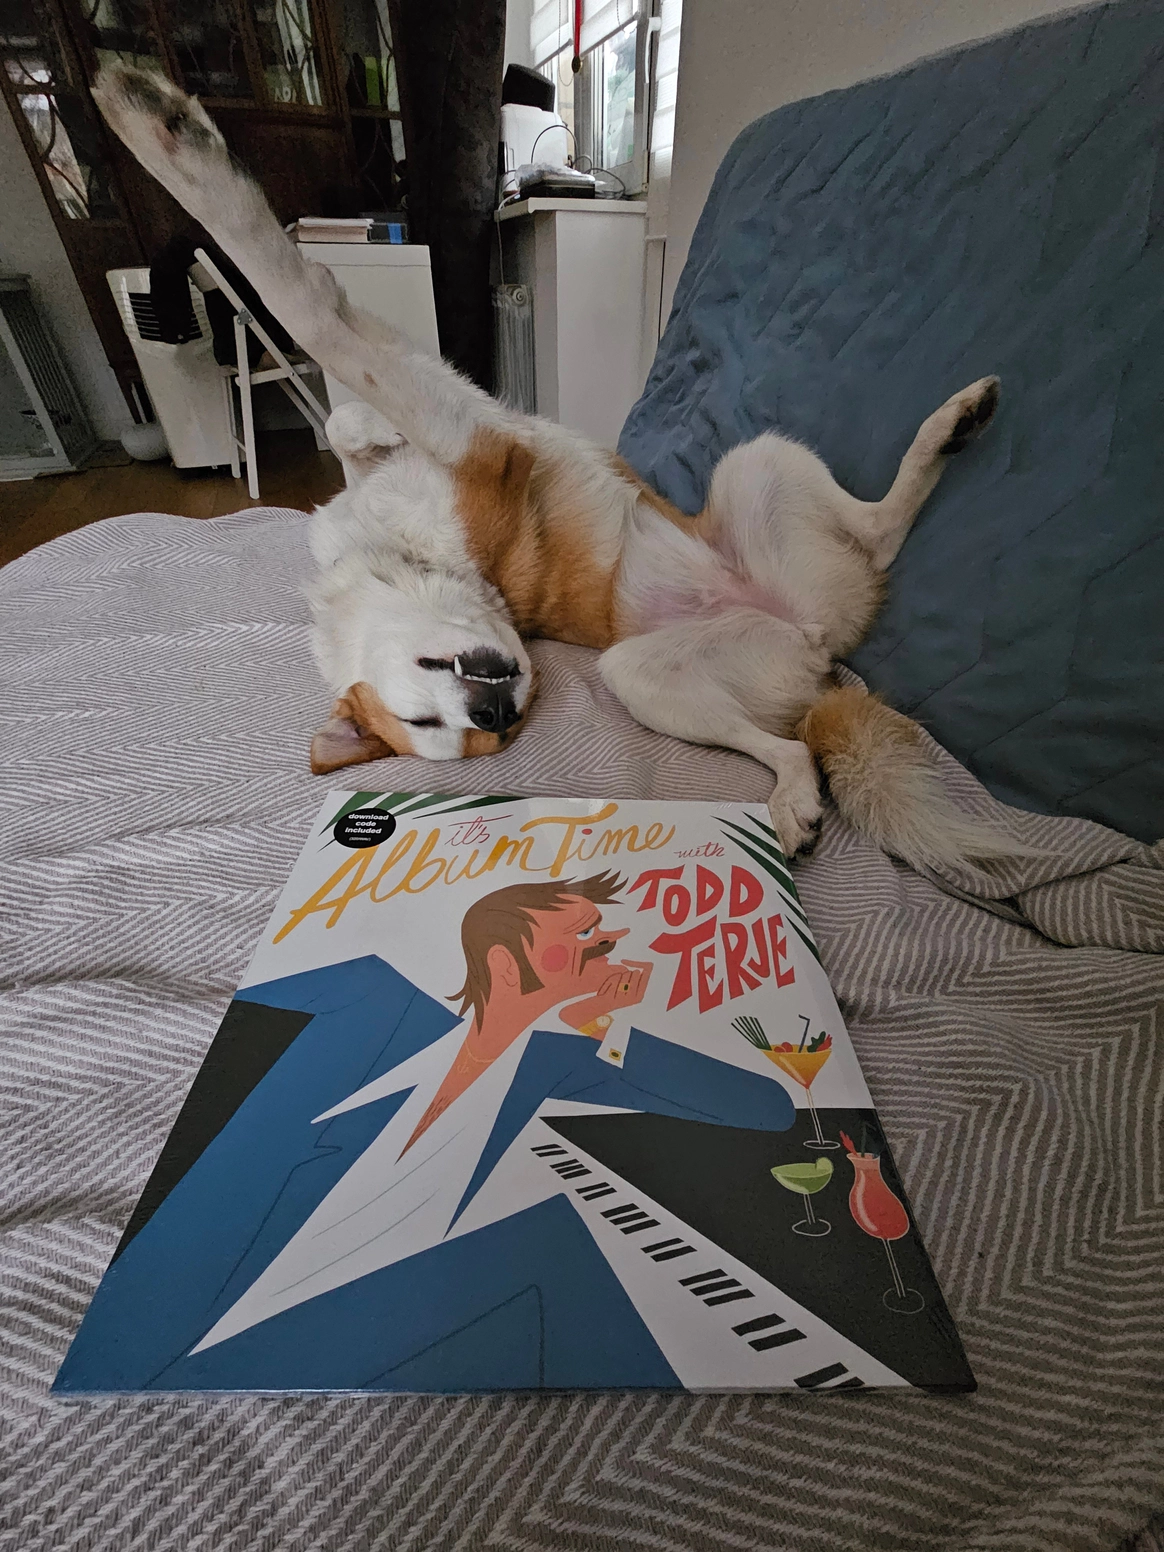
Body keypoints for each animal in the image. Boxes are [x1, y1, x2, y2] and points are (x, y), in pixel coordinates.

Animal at [93, 63, 1019, 869]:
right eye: (459, 733)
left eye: (425, 711)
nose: (496, 705)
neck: (402, 558)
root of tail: (818, 649)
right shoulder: (482, 448)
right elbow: (337, 352)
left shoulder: (465, 434)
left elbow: (331, 350)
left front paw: (166, 138)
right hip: (648, 667)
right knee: (816, 683)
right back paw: (795, 796)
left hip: (753, 469)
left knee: (874, 527)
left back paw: (952, 424)